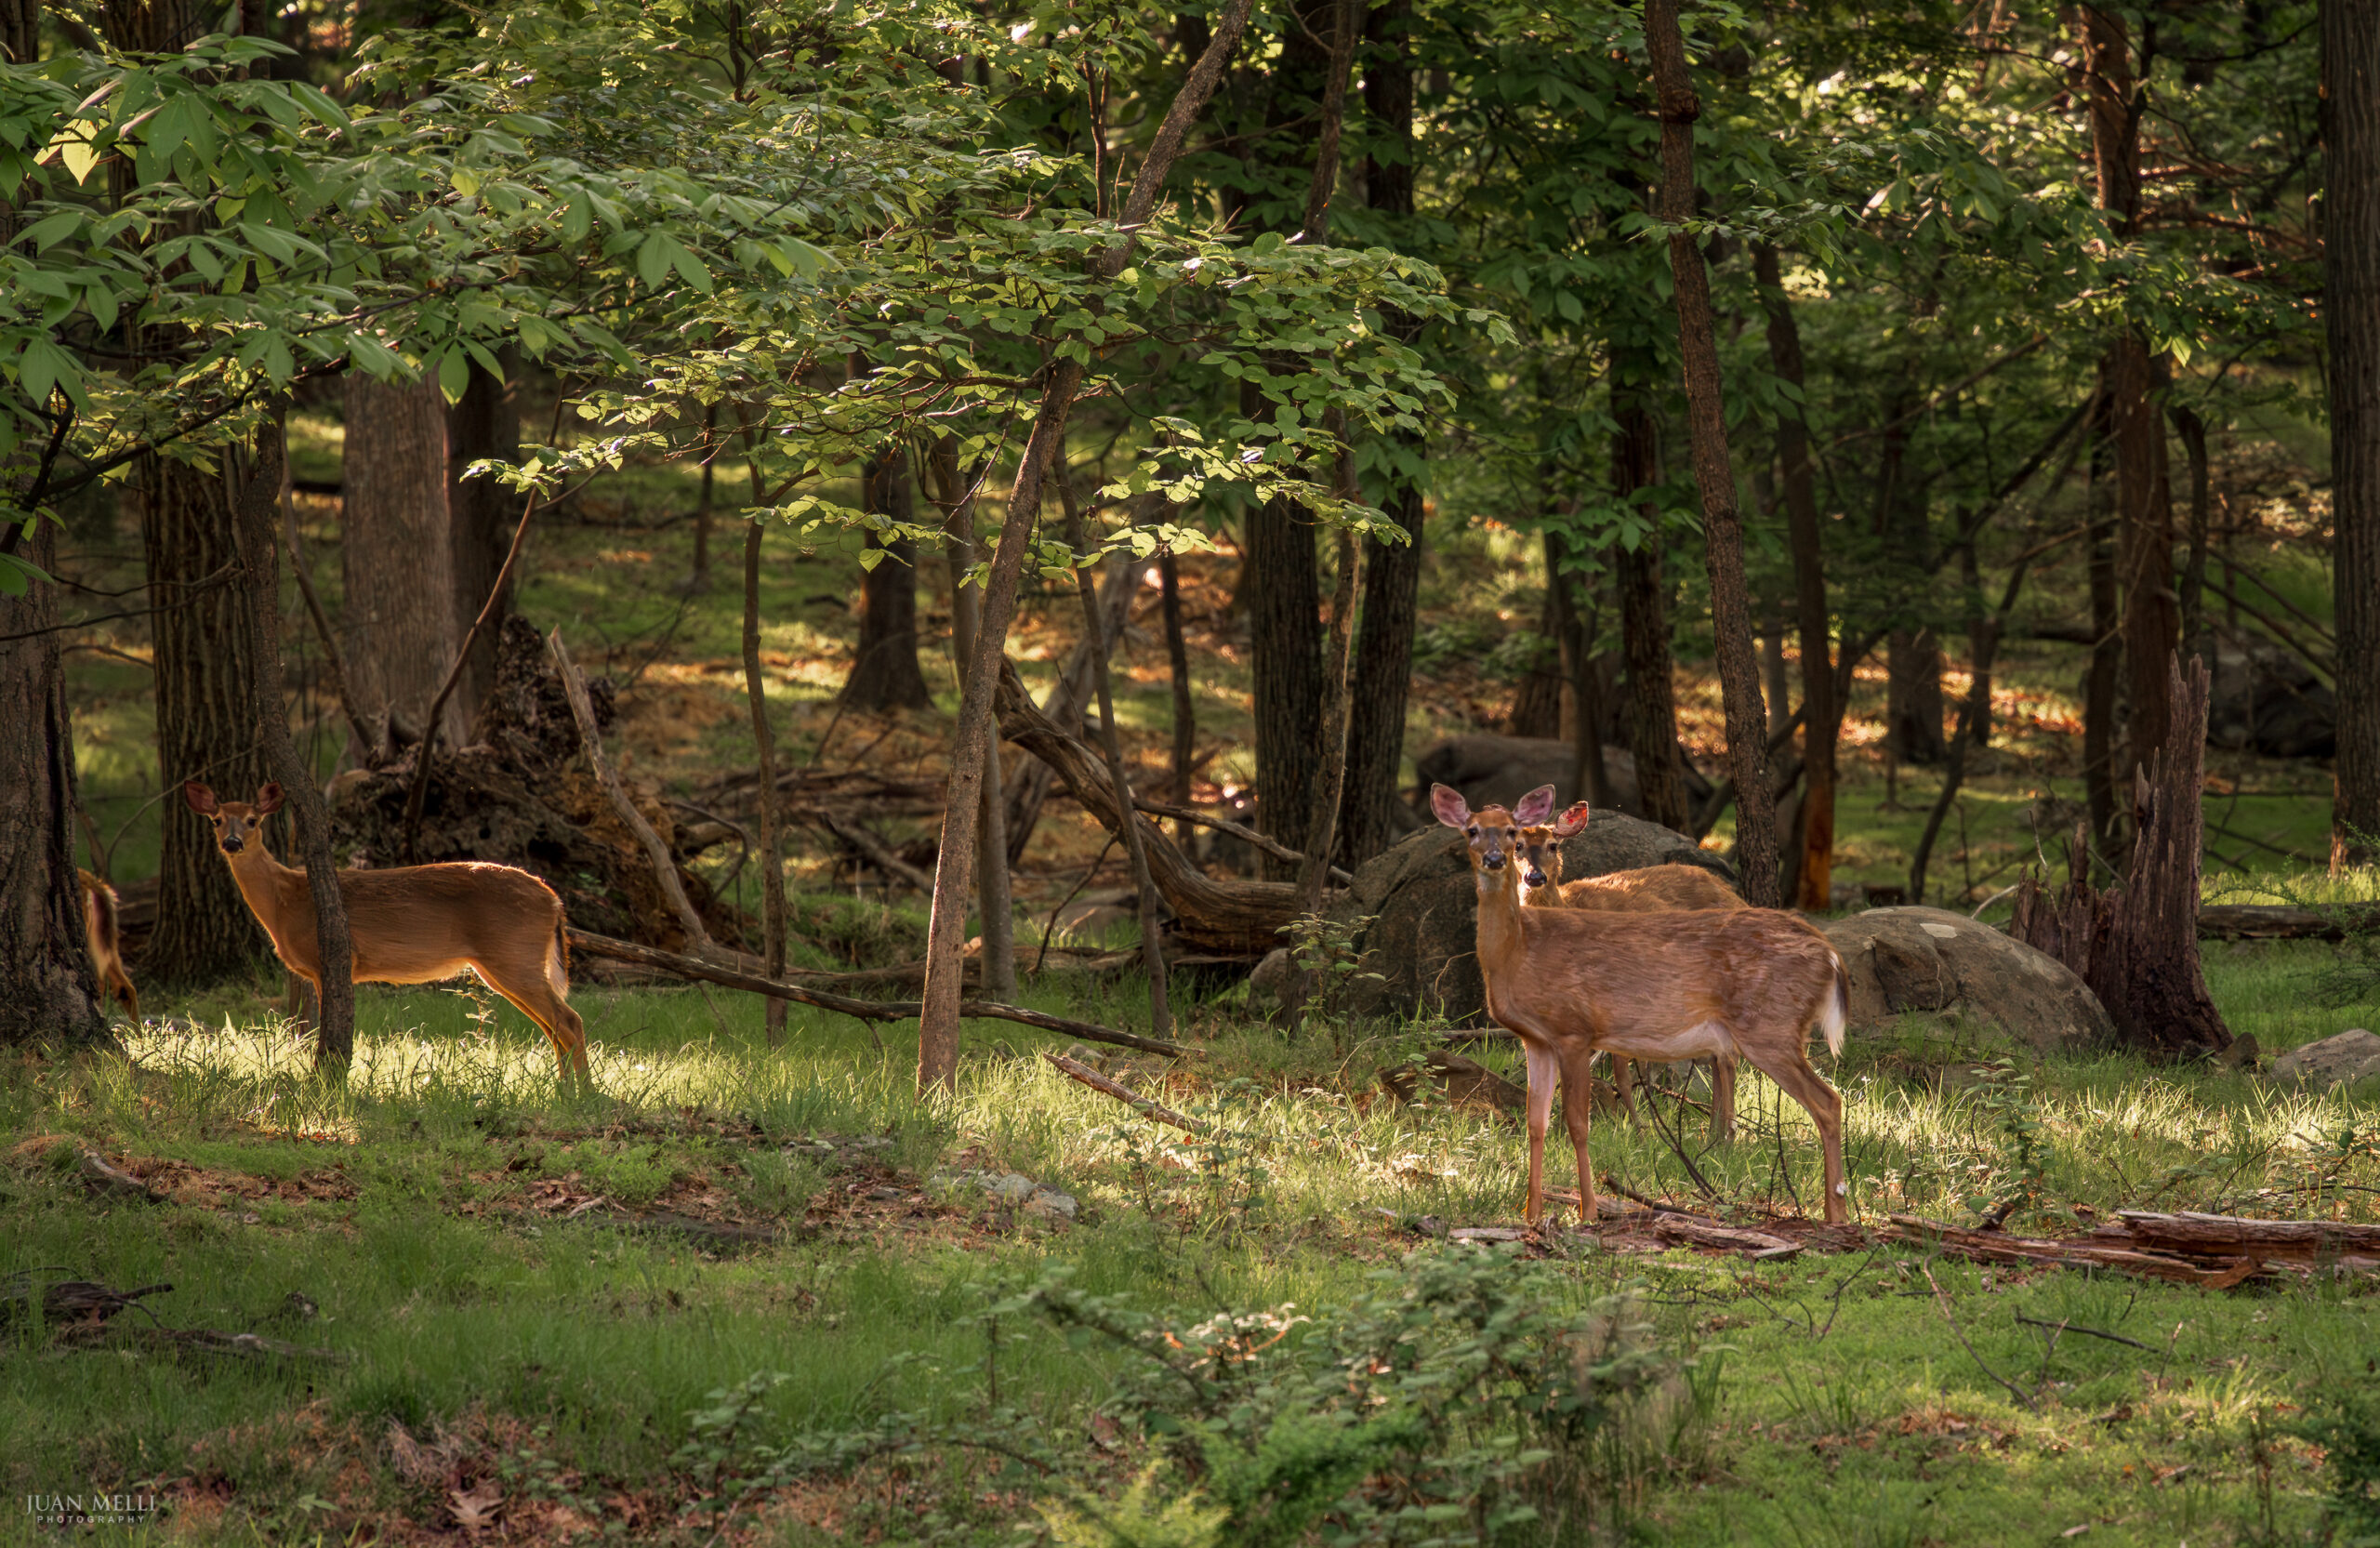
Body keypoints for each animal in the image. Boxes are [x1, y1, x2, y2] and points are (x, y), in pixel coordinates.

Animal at [182, 783, 590, 1085]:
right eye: (217, 820)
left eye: (252, 820)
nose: (232, 843)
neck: (286, 899)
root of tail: (554, 901)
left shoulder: (327, 960)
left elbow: (323, 1029)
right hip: (505, 965)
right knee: (555, 1028)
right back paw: (565, 1088)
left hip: (513, 955)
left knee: (569, 1021)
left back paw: (580, 1093)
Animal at [1514, 802, 1748, 1140]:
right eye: (1517, 845)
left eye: (1553, 845)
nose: (1534, 876)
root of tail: (1735, 896)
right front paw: (1557, 1130)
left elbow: (1619, 1072)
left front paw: (1637, 1128)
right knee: (1718, 1052)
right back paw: (1716, 1132)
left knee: (1726, 1053)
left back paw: (1727, 1134)